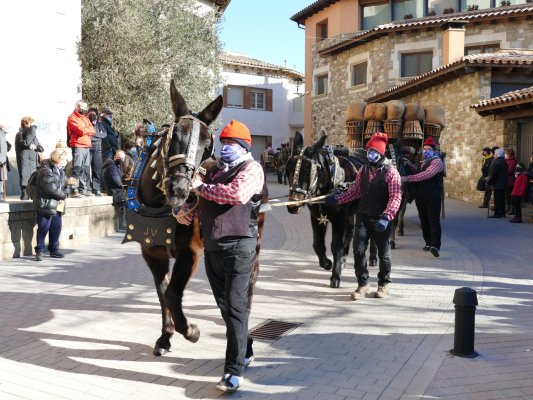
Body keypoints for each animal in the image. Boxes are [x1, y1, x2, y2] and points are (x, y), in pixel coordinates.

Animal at [124, 79, 266, 354]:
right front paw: (165, 336)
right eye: (173, 136)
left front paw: (190, 330)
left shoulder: (190, 252)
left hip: (255, 239)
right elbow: (163, 292)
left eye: (207, 143)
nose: (180, 189)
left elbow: (172, 293)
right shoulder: (152, 252)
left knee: (250, 278)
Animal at [284, 134, 364, 288]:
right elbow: (318, 244)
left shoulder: (339, 219)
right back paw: (343, 260)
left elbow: (336, 246)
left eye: (308, 169)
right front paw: (327, 263)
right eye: (289, 168)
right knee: (350, 233)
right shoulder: (317, 217)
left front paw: (335, 276)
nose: (293, 205)